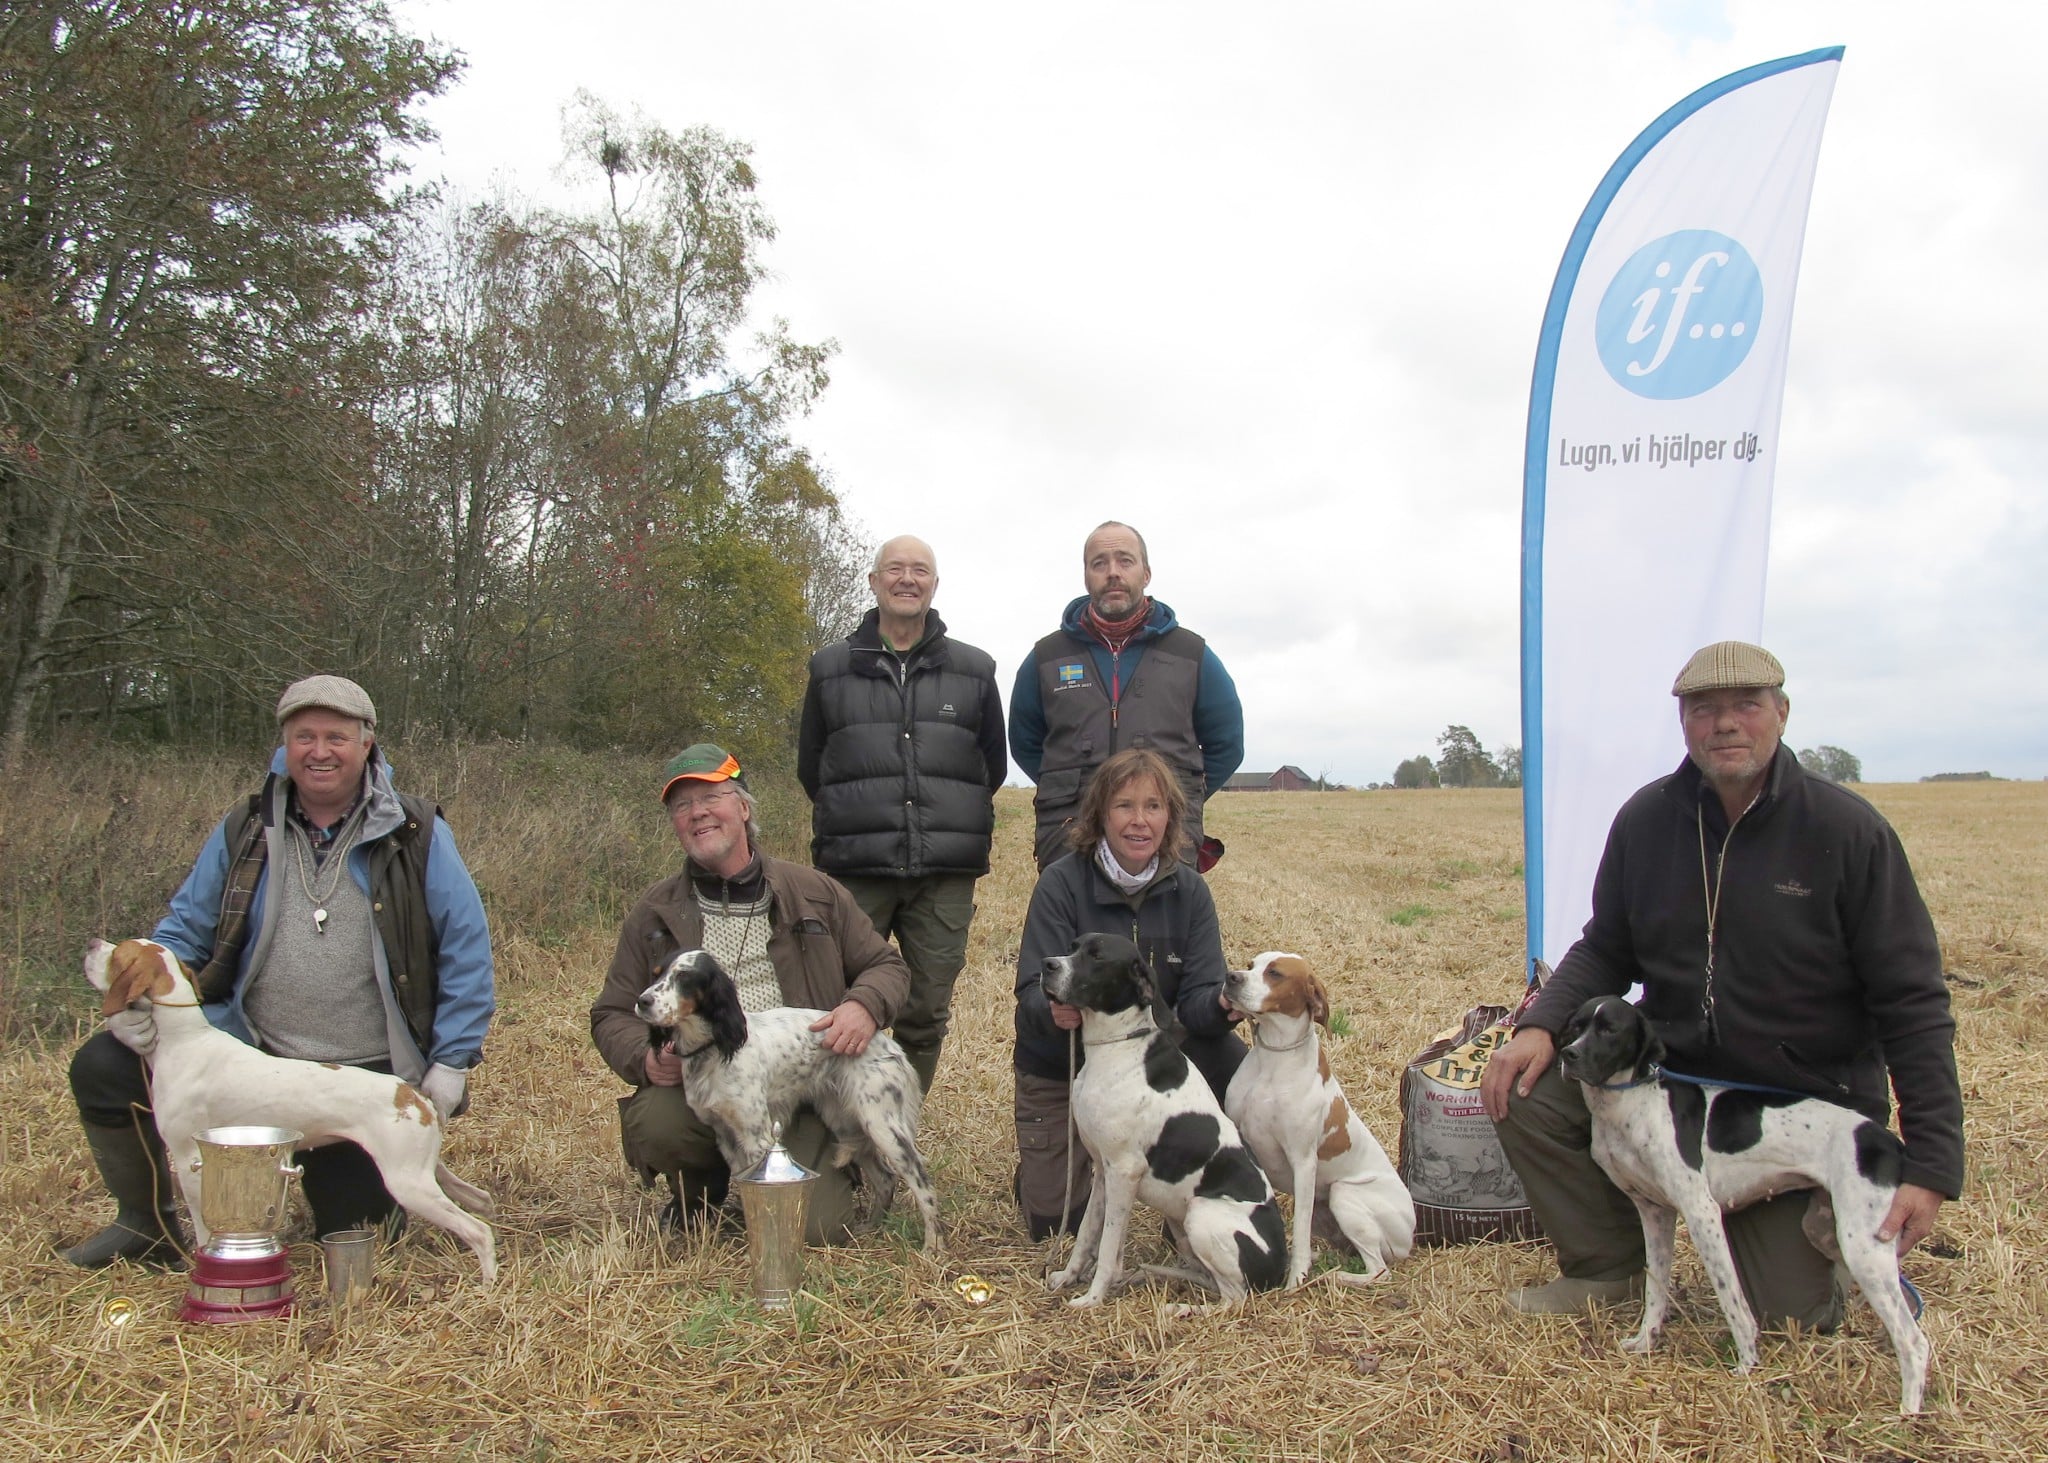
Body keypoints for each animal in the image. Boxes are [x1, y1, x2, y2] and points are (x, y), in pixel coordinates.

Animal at [630, 946, 942, 1254]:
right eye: (656, 974)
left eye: (684, 977)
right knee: (885, 1178)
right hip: (846, 1122)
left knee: (922, 1182)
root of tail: (892, 1048)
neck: (714, 1049)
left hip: (882, 1126)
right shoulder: (726, 1137)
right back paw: (871, 1228)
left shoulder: (756, 1138)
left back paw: (932, 1246)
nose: (642, 1001)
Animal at [1040, 934, 1277, 1311]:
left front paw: (1093, 1297)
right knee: (1207, 1278)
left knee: (1234, 1299)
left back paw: (1181, 1308)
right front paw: (1069, 1276)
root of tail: (1282, 1266)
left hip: (1200, 1215)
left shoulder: (1124, 1171)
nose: (1047, 965)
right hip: (1182, 1228)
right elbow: (1088, 1234)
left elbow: (1107, 1246)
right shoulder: (1103, 1169)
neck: (1118, 1048)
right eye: (1073, 946)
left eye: (1097, 957)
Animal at [1220, 946, 1417, 1278]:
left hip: (1344, 1195)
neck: (1273, 1060)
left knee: (1378, 1270)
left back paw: (1335, 1276)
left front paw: (1296, 1278)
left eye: (1275, 973)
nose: (1231, 977)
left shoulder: (1303, 1162)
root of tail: (1413, 1231)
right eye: (1251, 965)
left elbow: (1300, 1232)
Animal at [1556, 987, 1925, 1409]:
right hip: (1830, 1233)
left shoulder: (1702, 1214)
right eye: (1575, 1027)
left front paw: (1747, 1362)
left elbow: (1730, 1296)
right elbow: (1655, 1287)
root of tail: (1886, 1141)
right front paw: (1646, 1340)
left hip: (1861, 1247)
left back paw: (1908, 1411)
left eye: (1610, 1029)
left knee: (1913, 1340)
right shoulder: (1655, 1213)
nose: (1568, 1054)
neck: (1630, 1106)